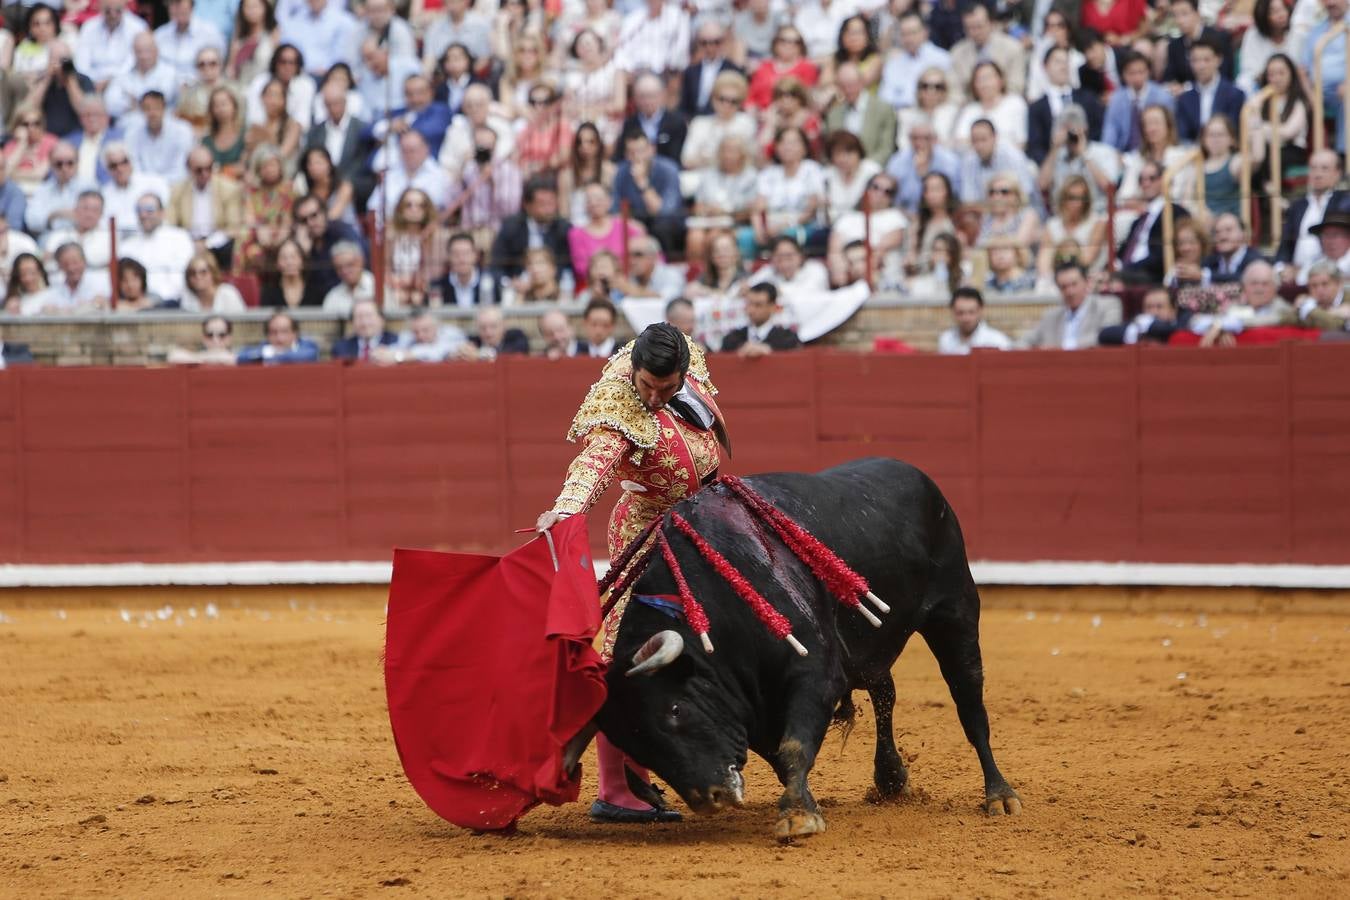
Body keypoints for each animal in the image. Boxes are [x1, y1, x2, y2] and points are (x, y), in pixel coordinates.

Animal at [585, 461, 1015, 841]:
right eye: (633, 744)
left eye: (675, 709)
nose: (711, 798)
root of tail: (918, 475)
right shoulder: (753, 701)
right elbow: (781, 754)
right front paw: (806, 807)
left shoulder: (816, 676)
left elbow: (793, 746)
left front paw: (797, 819)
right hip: (873, 648)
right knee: (885, 695)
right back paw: (891, 779)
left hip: (955, 611)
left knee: (969, 704)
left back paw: (1000, 796)